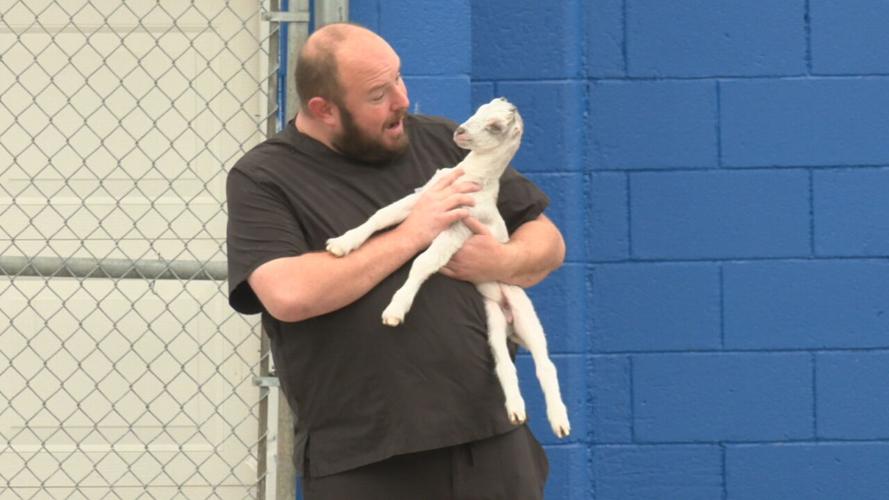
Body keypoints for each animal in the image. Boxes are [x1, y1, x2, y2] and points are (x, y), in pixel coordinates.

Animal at [325, 98, 570, 438]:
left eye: (496, 126)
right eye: (481, 108)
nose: (460, 131)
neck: (473, 178)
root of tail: (508, 314)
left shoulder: (457, 227)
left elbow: (423, 262)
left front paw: (395, 310)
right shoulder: (423, 200)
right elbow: (381, 215)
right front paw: (342, 243)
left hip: (526, 315)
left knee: (546, 364)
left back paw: (559, 421)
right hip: (493, 322)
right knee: (503, 364)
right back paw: (515, 411)